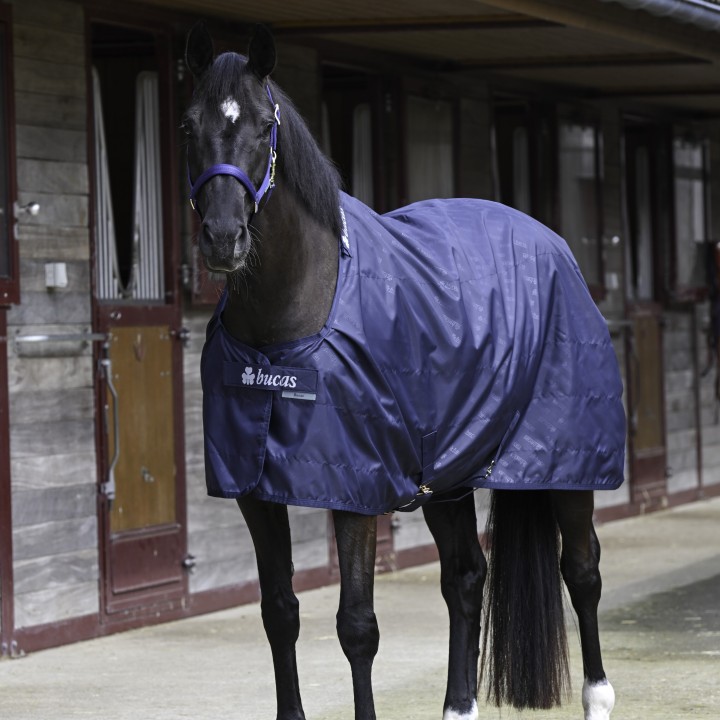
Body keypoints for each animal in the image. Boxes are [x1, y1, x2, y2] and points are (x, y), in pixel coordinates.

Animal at [184, 22, 625, 720]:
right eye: (189, 124)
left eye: (262, 125)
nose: (224, 239)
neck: (286, 331)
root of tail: (552, 243)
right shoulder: (257, 493)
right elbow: (280, 613)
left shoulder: (356, 492)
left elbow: (357, 627)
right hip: (447, 474)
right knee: (466, 577)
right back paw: (458, 705)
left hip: (567, 464)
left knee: (582, 572)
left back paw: (598, 696)